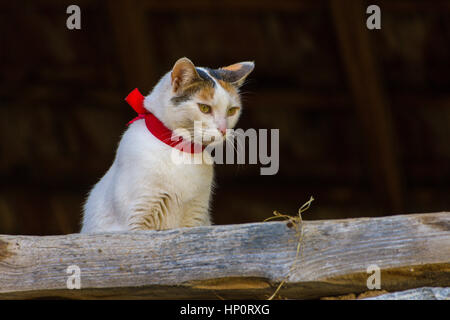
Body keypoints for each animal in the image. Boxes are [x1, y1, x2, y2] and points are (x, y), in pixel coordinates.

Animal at [81, 57, 255, 232]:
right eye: (204, 108)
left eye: (232, 111)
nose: (223, 130)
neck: (183, 153)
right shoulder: (138, 216)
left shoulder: (196, 217)